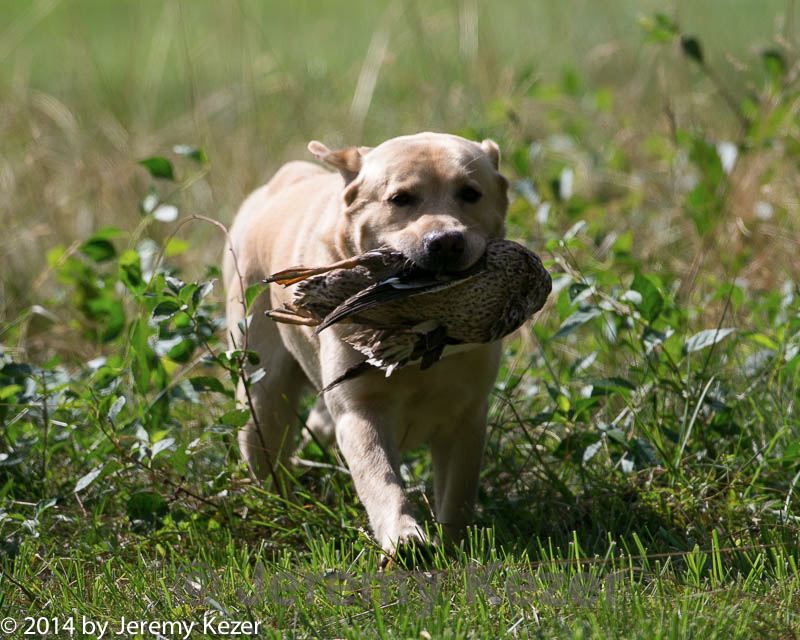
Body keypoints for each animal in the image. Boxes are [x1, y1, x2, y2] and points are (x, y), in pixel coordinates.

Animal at [223, 131, 512, 556]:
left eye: (470, 193)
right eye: (400, 198)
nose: (445, 242)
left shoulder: (466, 416)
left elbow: (458, 492)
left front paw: (456, 544)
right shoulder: (360, 412)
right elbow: (381, 479)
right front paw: (404, 536)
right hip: (262, 397)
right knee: (268, 453)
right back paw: (282, 510)